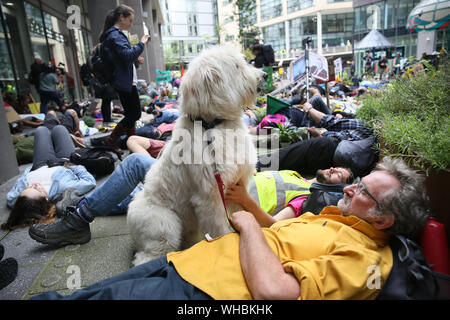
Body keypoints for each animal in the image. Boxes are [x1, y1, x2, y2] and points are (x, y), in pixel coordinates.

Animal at [126, 45, 266, 264]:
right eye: (236, 66)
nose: (264, 75)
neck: (214, 124)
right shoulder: (210, 196)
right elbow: (219, 228)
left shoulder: (237, 186)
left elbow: (242, 212)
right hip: (165, 226)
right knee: (145, 256)